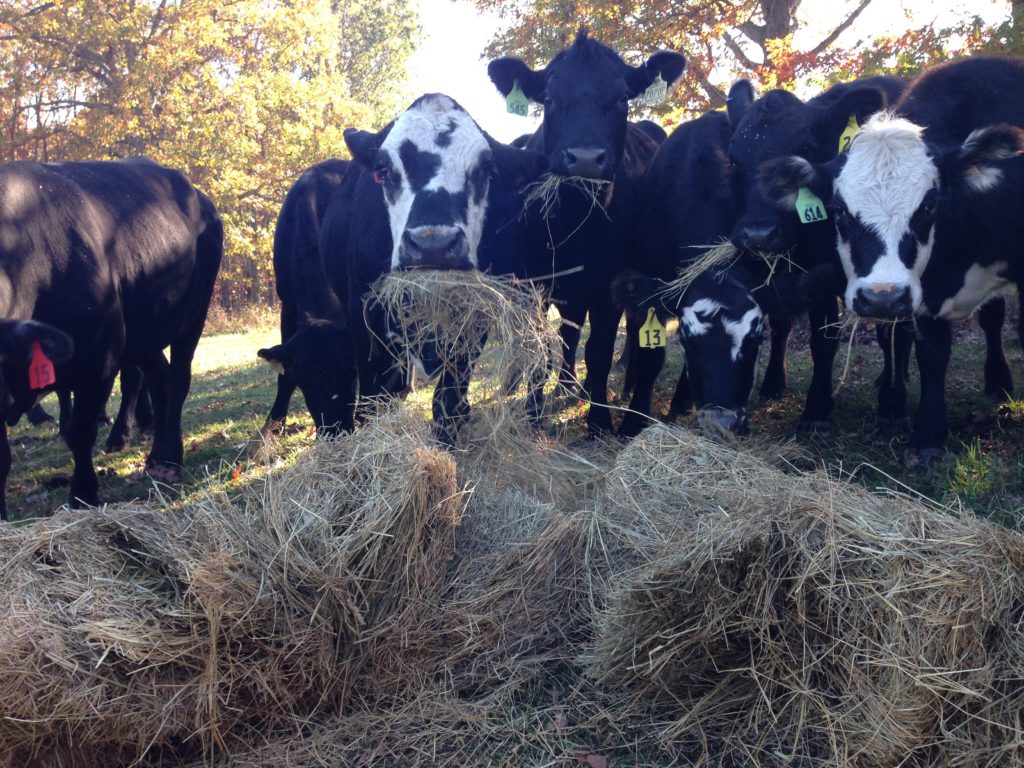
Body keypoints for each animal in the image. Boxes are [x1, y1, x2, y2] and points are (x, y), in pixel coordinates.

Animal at [0, 158, 222, 520]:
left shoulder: (100, 355)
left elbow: (81, 431)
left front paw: (83, 495)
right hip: (144, 329)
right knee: (158, 376)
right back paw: (155, 454)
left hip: (193, 314)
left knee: (176, 378)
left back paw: (168, 458)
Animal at [256, 159, 357, 435]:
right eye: (305, 381)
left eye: (350, 373)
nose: (335, 431)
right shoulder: (287, 306)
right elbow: (283, 378)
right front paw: (274, 422)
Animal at [312, 94, 548, 446]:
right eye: (384, 171)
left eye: (485, 171)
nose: (433, 244)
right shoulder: (365, 315)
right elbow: (373, 403)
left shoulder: (474, 320)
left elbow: (447, 402)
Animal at [487, 30, 686, 435]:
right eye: (549, 98)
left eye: (623, 97)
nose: (584, 158)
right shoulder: (535, 282)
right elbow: (543, 346)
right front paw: (534, 414)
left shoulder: (606, 285)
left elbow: (599, 352)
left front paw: (598, 421)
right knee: (569, 335)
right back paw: (566, 387)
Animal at [761, 56, 1024, 460]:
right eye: (839, 210)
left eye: (930, 204)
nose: (881, 297)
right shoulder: (925, 287)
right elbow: (931, 352)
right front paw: (929, 438)